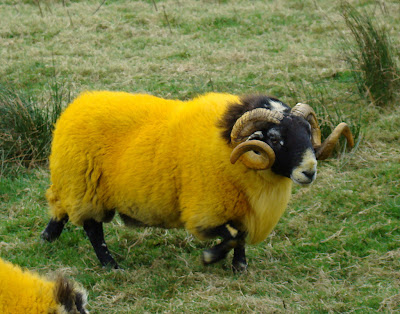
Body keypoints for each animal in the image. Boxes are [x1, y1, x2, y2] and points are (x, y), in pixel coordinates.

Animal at [41, 91, 354, 270]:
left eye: (307, 132)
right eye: (275, 139)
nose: (309, 171)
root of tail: (72, 108)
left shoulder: (242, 209)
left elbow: (240, 235)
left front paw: (239, 266)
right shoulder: (205, 211)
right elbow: (231, 235)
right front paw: (211, 257)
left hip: (74, 184)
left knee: (59, 204)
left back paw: (49, 234)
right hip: (85, 187)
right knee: (93, 229)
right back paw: (110, 265)